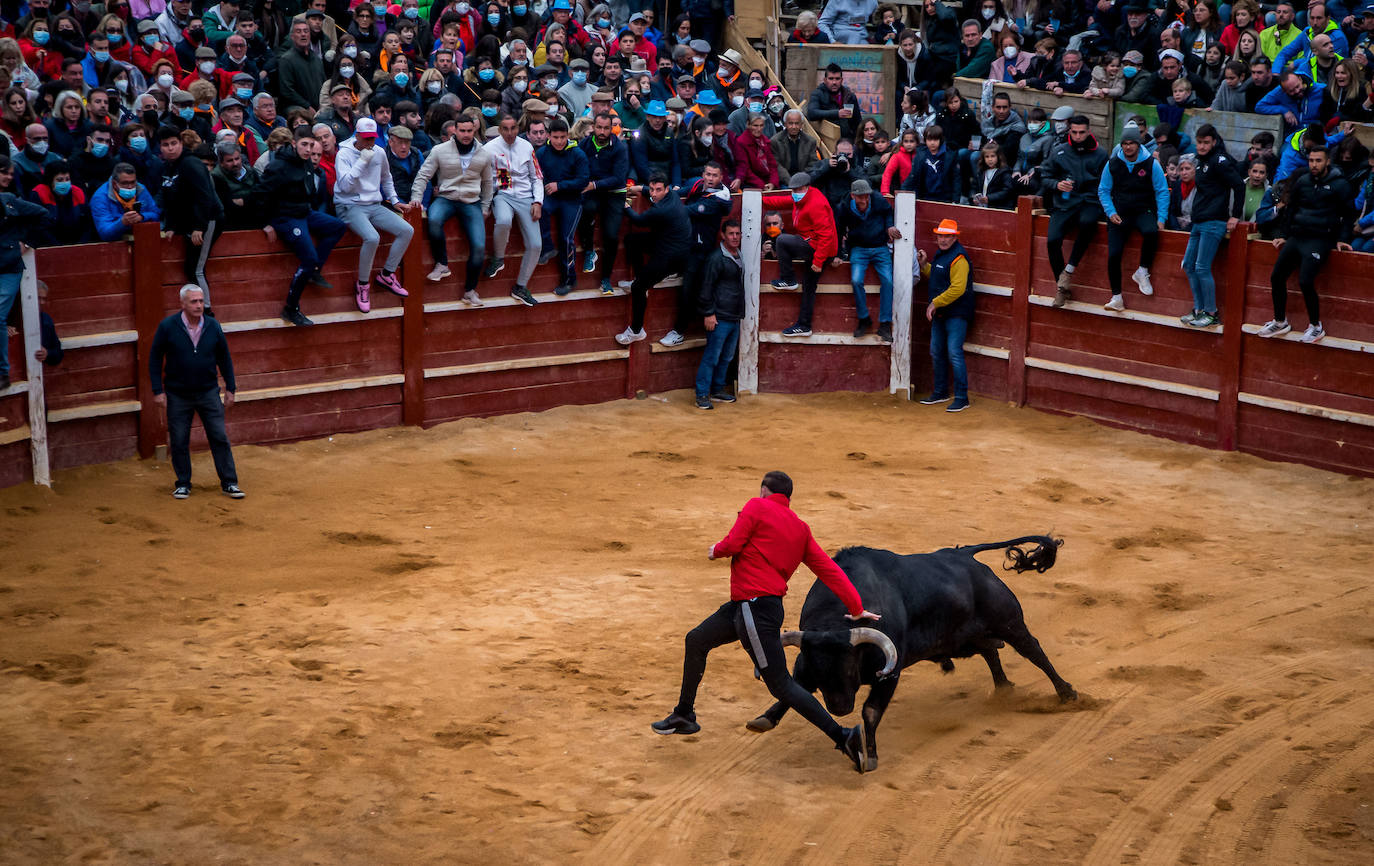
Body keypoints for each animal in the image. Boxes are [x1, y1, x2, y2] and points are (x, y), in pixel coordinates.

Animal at [747, 536, 1077, 775]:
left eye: (849, 667)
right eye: (820, 669)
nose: (839, 708)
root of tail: (965, 555)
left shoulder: (889, 673)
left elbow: (871, 711)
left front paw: (871, 755)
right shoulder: (806, 664)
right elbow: (792, 690)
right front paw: (764, 720)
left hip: (1009, 622)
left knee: (1034, 651)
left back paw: (1068, 694)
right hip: (967, 639)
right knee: (990, 652)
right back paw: (1004, 689)